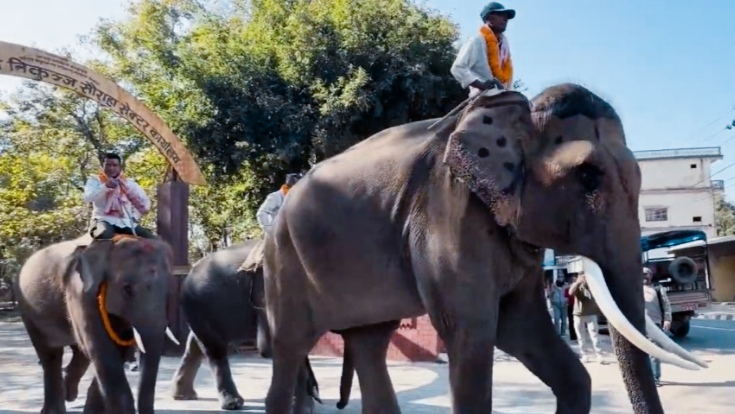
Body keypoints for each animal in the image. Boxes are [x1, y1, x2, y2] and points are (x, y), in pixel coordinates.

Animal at [14, 233, 179, 414]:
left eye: (168, 291)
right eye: (127, 288)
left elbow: (116, 350)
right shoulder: (80, 293)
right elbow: (101, 349)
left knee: (79, 352)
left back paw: (69, 392)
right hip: (27, 309)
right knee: (50, 355)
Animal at [169, 239, 399, 410]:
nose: (338, 404)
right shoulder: (269, 293)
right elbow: (274, 346)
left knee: (196, 344)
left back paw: (183, 396)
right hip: (197, 304)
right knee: (215, 350)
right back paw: (232, 404)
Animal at [262, 83, 707, 414]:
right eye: (588, 176)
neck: (517, 115)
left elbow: (523, 329)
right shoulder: (450, 213)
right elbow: (473, 335)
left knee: (369, 342)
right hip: (284, 263)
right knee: (290, 346)